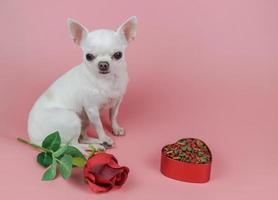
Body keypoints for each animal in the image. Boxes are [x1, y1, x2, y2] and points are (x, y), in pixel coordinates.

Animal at [26, 16, 137, 152]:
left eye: (118, 55)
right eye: (89, 56)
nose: (103, 64)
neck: (106, 80)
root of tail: (34, 139)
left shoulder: (116, 101)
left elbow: (113, 116)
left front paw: (115, 129)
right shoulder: (92, 109)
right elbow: (99, 125)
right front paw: (104, 137)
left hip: (83, 119)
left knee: (82, 137)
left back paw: (96, 142)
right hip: (72, 119)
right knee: (73, 145)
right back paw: (96, 145)